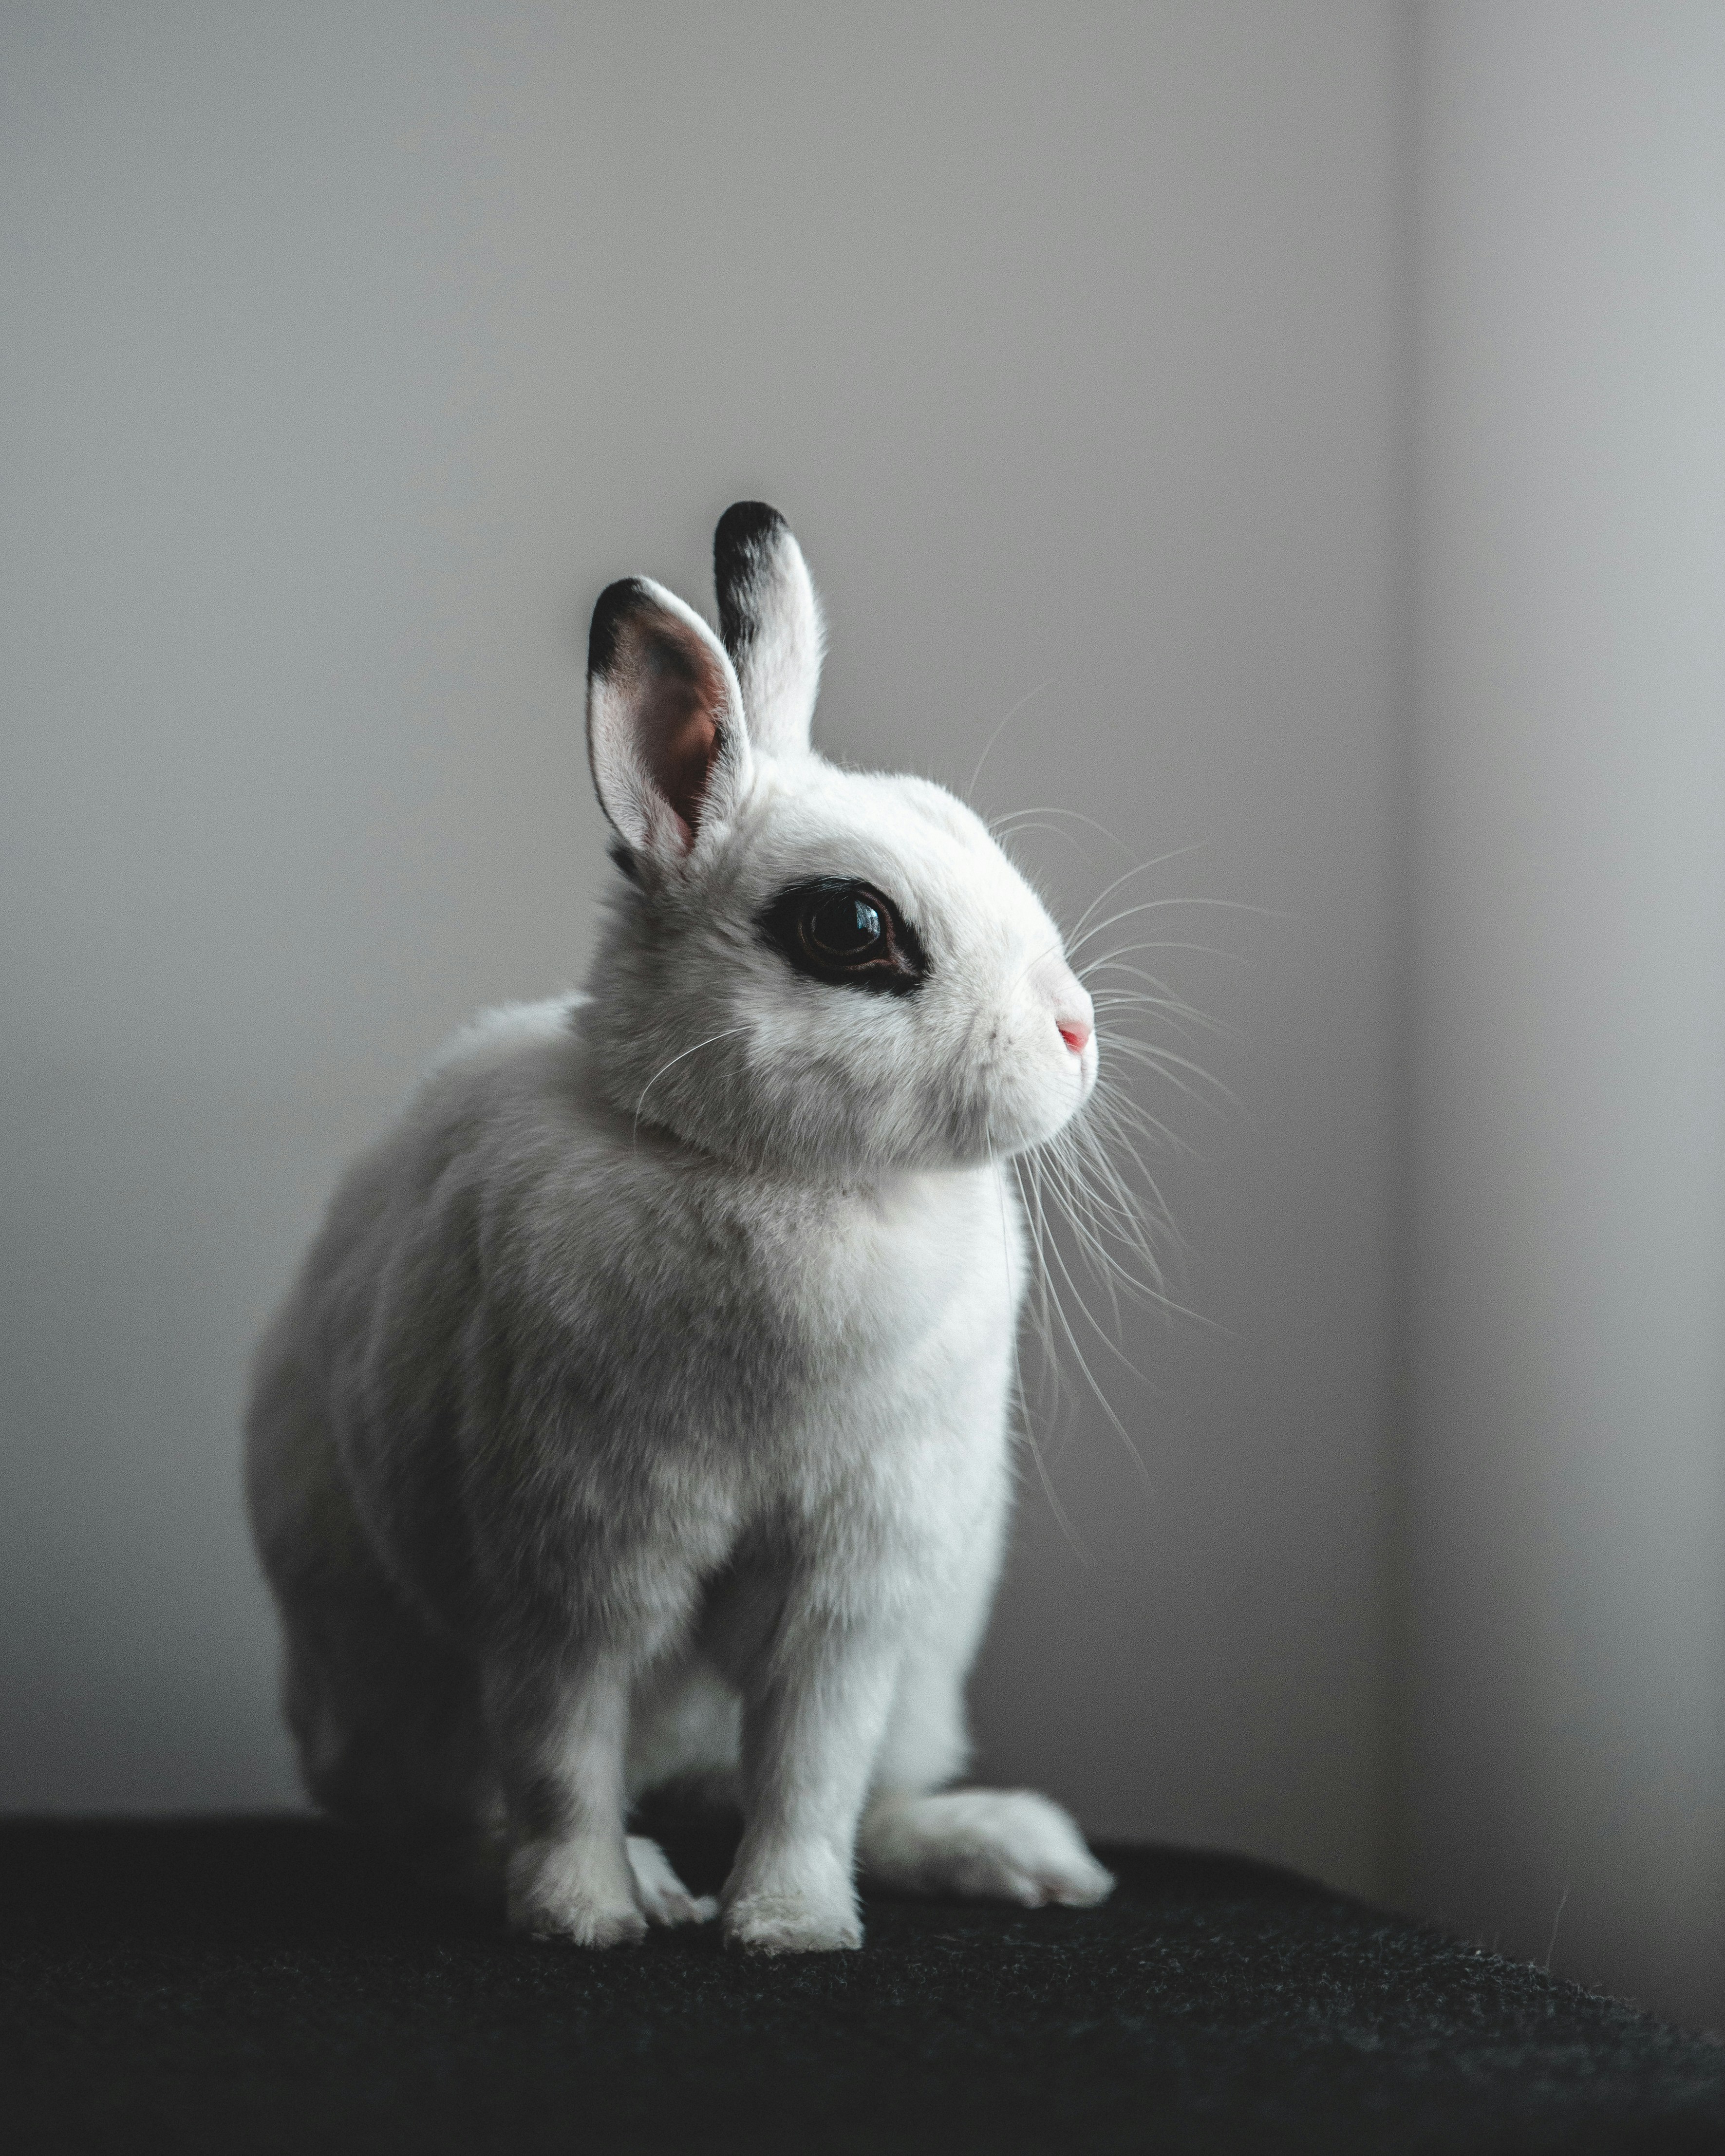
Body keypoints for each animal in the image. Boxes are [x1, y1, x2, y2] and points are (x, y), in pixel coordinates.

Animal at [246, 501, 1115, 1954]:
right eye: (854, 924)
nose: (1074, 1032)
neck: (776, 1173)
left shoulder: (853, 1590)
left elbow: (811, 1766)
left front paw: (790, 1926)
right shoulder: (572, 1564)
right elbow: (562, 1752)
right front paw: (585, 1917)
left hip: (927, 1668)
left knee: (868, 1783)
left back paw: (1011, 1850)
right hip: (394, 1687)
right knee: (439, 1817)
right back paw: (629, 1878)